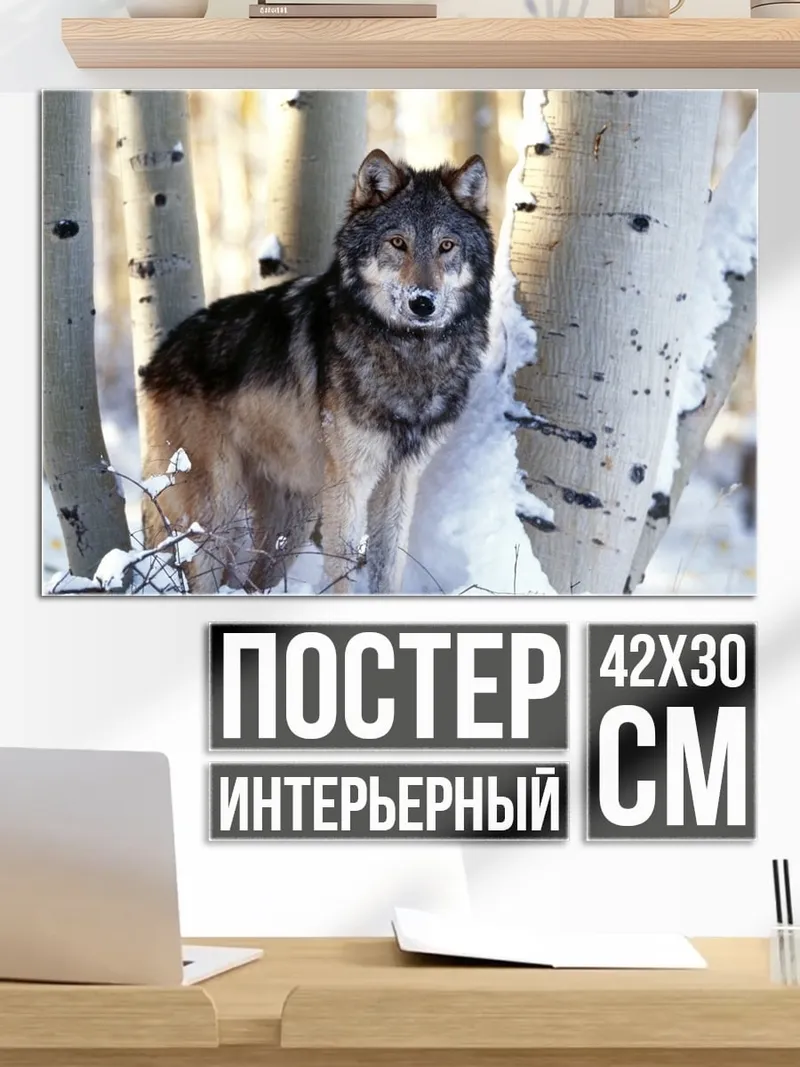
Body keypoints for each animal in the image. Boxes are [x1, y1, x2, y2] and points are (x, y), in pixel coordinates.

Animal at [139, 148, 495, 595]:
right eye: (398, 242)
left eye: (446, 246)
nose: (423, 302)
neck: (410, 353)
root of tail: (155, 360)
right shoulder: (350, 481)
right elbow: (341, 570)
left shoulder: (400, 480)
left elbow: (388, 568)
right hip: (216, 513)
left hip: (292, 520)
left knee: (252, 583)